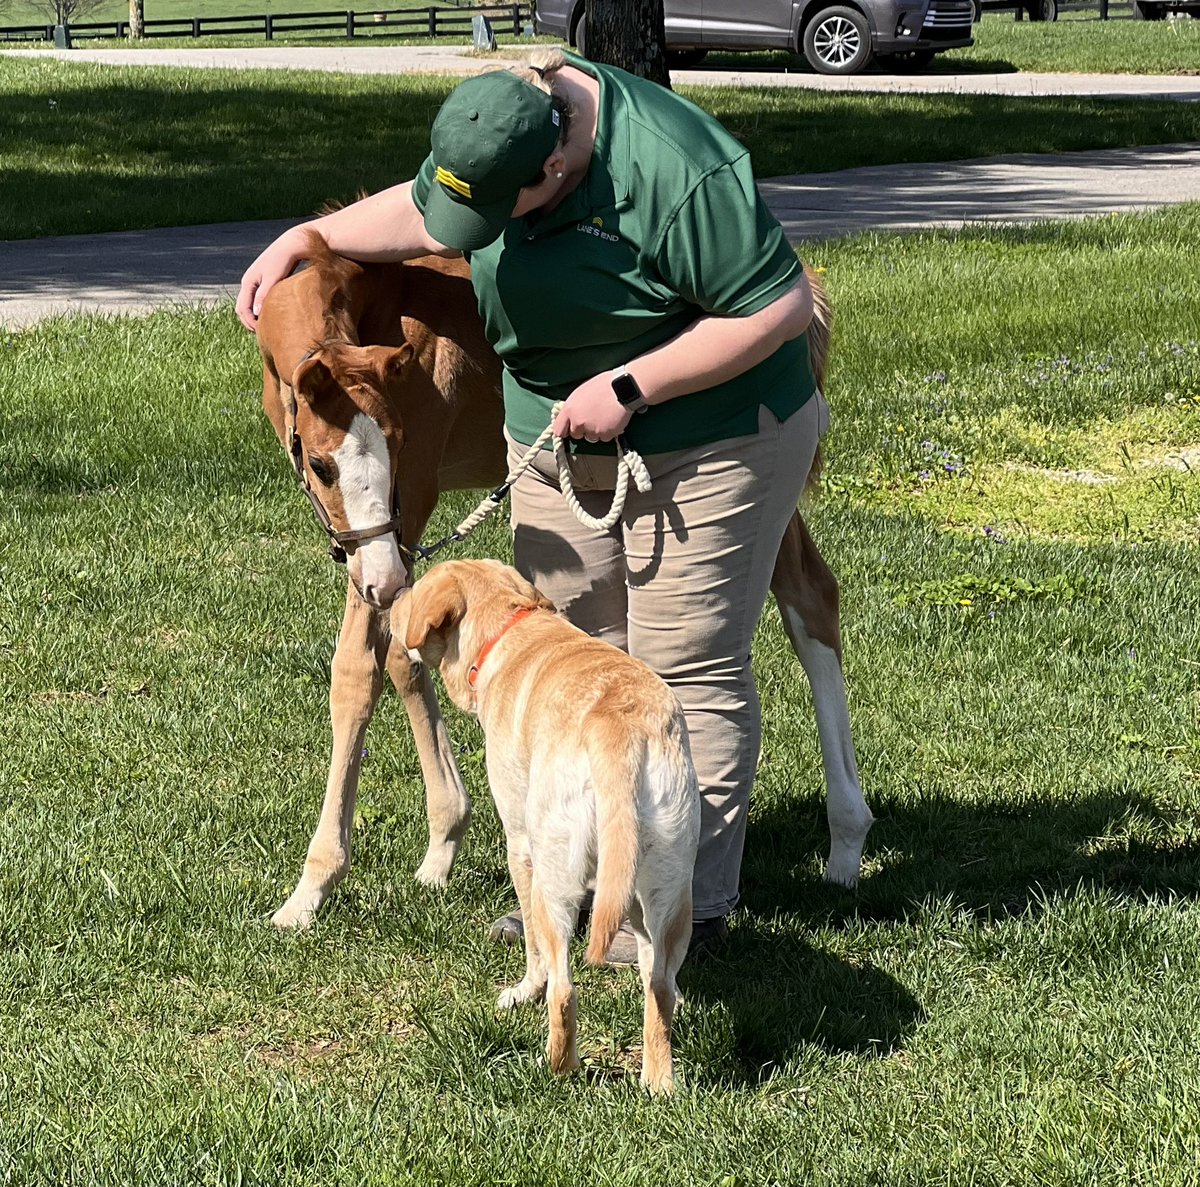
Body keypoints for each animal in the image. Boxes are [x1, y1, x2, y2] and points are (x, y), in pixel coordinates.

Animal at [400, 559, 700, 1094]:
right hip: (666, 890)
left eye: (413, 596)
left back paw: (556, 1068)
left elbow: (535, 952)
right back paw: (658, 1084)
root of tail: (618, 728)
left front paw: (524, 991)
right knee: (659, 988)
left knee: (563, 989)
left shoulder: (521, 845)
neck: (510, 631)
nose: (389, 602)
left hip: (555, 879)